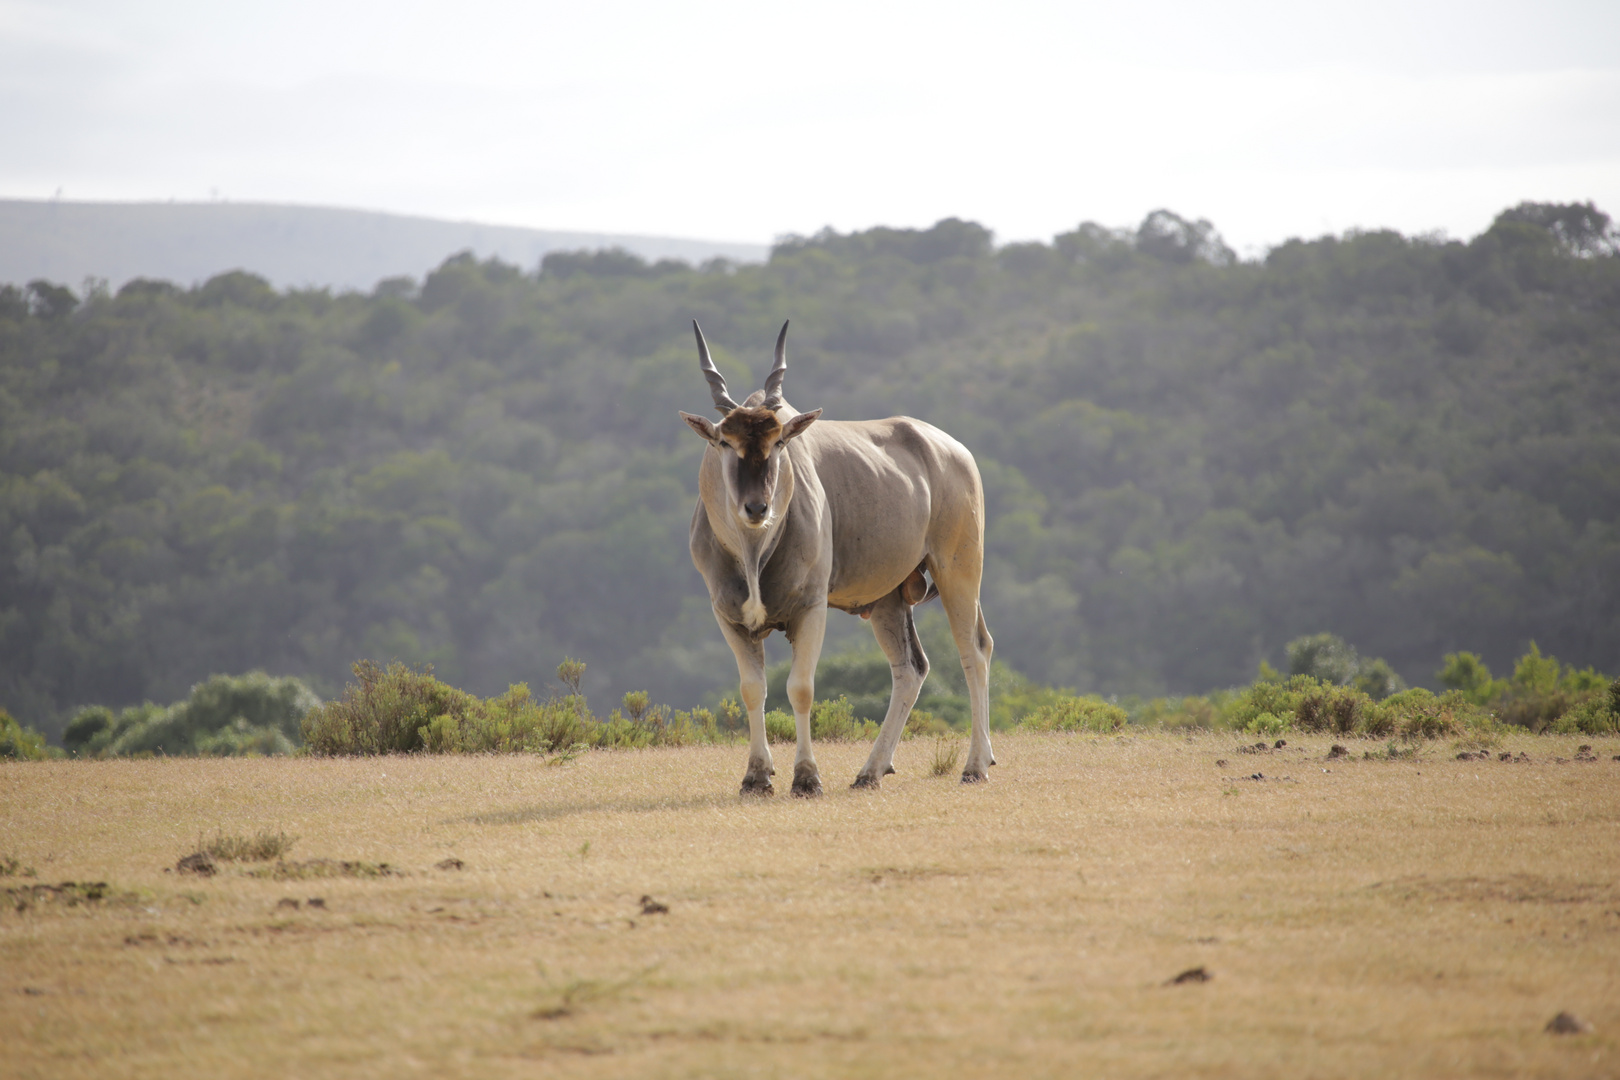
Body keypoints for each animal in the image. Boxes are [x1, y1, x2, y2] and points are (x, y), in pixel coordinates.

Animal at [677, 320, 991, 793]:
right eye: (724, 442)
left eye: (780, 442)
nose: (757, 508)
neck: (753, 552)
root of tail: (956, 450)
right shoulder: (729, 616)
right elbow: (753, 689)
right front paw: (756, 776)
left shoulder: (811, 608)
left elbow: (801, 689)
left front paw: (806, 777)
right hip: (889, 599)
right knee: (911, 668)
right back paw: (871, 770)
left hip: (958, 571)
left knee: (973, 651)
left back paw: (974, 765)